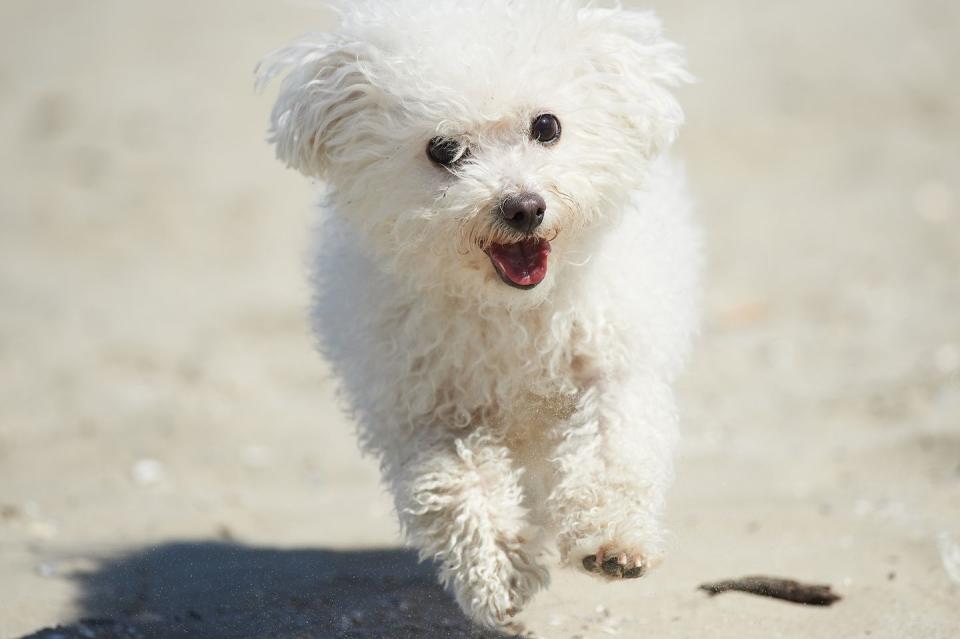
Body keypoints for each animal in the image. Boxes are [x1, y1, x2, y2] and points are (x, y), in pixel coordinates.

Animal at [258, 0, 700, 632]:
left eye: (547, 126)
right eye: (443, 150)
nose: (523, 207)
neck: (511, 307)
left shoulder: (613, 364)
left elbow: (613, 447)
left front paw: (612, 538)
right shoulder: (428, 411)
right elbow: (460, 487)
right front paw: (501, 569)